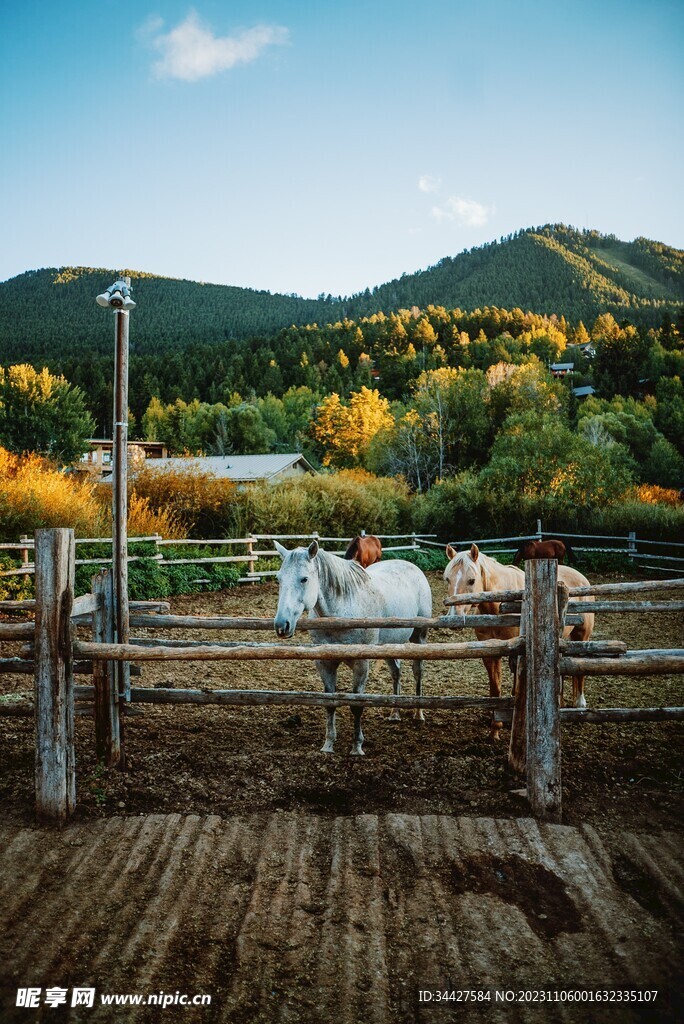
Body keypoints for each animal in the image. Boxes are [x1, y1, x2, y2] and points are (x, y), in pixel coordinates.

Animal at [274, 540, 432, 755]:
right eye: (279, 579)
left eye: (304, 579)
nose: (281, 625)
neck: (342, 612)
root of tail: (413, 567)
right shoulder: (324, 663)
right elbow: (330, 703)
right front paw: (328, 745)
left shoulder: (361, 664)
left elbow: (357, 705)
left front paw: (357, 746)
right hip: (388, 646)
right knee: (396, 673)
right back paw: (395, 712)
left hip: (419, 639)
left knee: (418, 672)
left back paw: (418, 713)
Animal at [444, 544, 594, 739]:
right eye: (447, 579)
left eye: (471, 580)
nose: (453, 618)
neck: (498, 606)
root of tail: (580, 577)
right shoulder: (490, 653)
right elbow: (495, 690)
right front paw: (495, 729)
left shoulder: (517, 653)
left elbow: (516, 689)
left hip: (582, 637)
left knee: (580, 671)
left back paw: (580, 705)